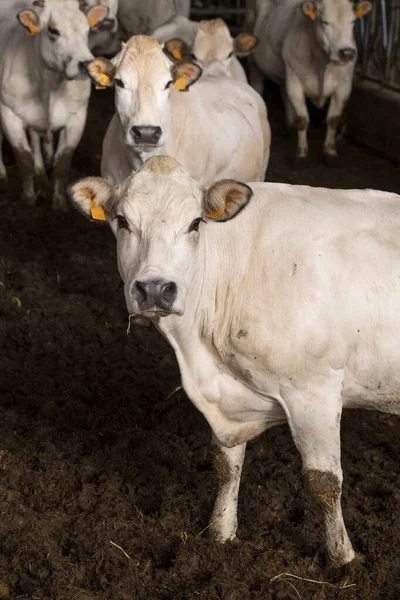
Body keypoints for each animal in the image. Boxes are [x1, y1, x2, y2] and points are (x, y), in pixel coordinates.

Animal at [0, 0, 108, 210]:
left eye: (87, 29)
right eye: (53, 30)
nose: (86, 64)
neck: (49, 86)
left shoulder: (77, 117)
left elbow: (62, 163)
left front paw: (59, 202)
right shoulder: (9, 114)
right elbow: (23, 159)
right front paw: (28, 198)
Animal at [69, 155, 400, 568]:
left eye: (196, 223)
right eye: (123, 221)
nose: (155, 289)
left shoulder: (315, 390)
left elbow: (323, 481)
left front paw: (343, 561)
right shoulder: (230, 397)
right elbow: (226, 466)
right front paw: (221, 533)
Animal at [248, 0, 374, 163]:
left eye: (353, 22)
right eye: (325, 22)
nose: (347, 52)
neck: (321, 65)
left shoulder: (343, 86)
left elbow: (333, 119)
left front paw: (330, 152)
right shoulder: (295, 82)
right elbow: (302, 120)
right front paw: (302, 154)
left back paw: (290, 128)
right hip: (254, 64)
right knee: (257, 87)